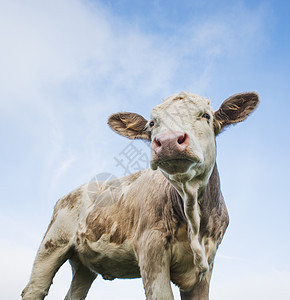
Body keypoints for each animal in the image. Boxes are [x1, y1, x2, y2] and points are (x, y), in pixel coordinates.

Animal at [21, 92, 260, 300]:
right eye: (152, 124)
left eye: (206, 115)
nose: (169, 141)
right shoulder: (151, 249)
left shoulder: (207, 263)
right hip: (52, 244)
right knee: (35, 289)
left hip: (83, 265)